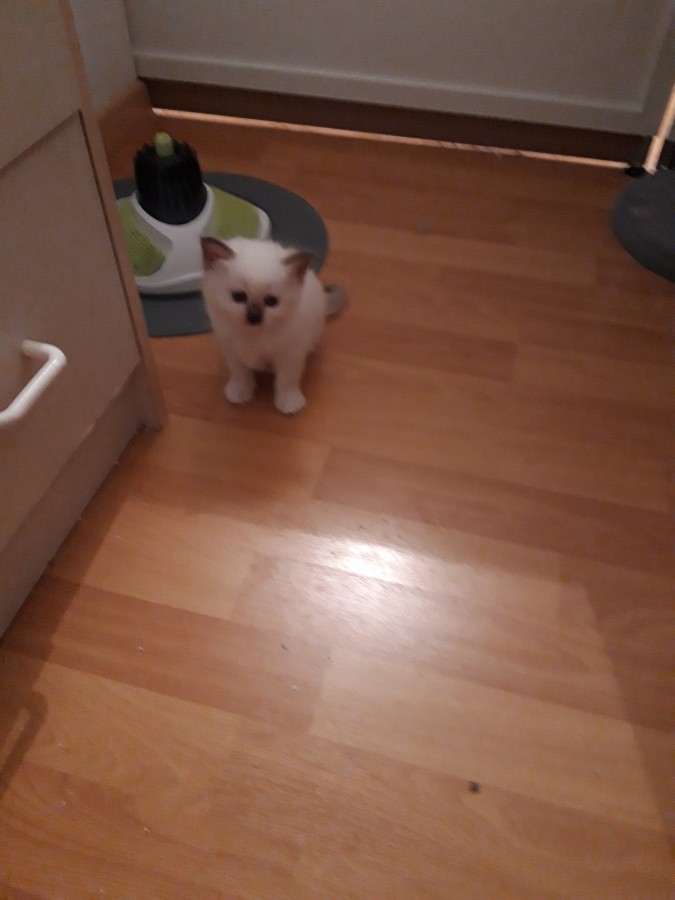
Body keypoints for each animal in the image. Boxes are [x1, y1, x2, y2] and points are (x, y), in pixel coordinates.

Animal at [201, 236, 346, 414]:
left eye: (271, 301)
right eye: (239, 297)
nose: (254, 317)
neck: (253, 334)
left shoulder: (290, 355)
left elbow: (286, 380)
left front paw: (288, 403)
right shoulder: (231, 350)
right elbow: (240, 373)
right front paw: (240, 392)